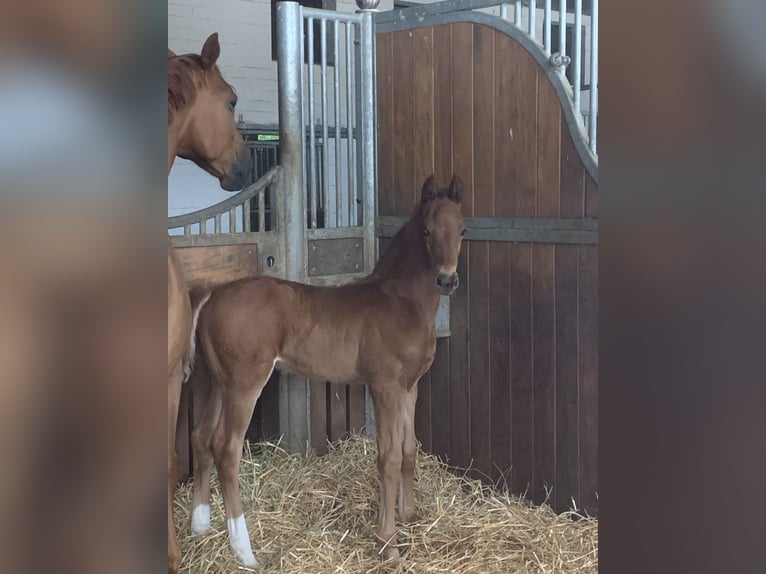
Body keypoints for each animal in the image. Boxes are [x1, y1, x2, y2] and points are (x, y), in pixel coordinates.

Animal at [192, 176, 468, 568]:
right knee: (226, 450)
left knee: (200, 437)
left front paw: (410, 516)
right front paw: (389, 543)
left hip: (216, 383)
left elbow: (409, 449)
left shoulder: (410, 387)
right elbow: (389, 457)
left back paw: (200, 526)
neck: (401, 303)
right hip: (244, 385)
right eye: (427, 230)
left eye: (462, 229)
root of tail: (212, 296)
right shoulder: (384, 387)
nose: (447, 281)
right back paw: (244, 551)